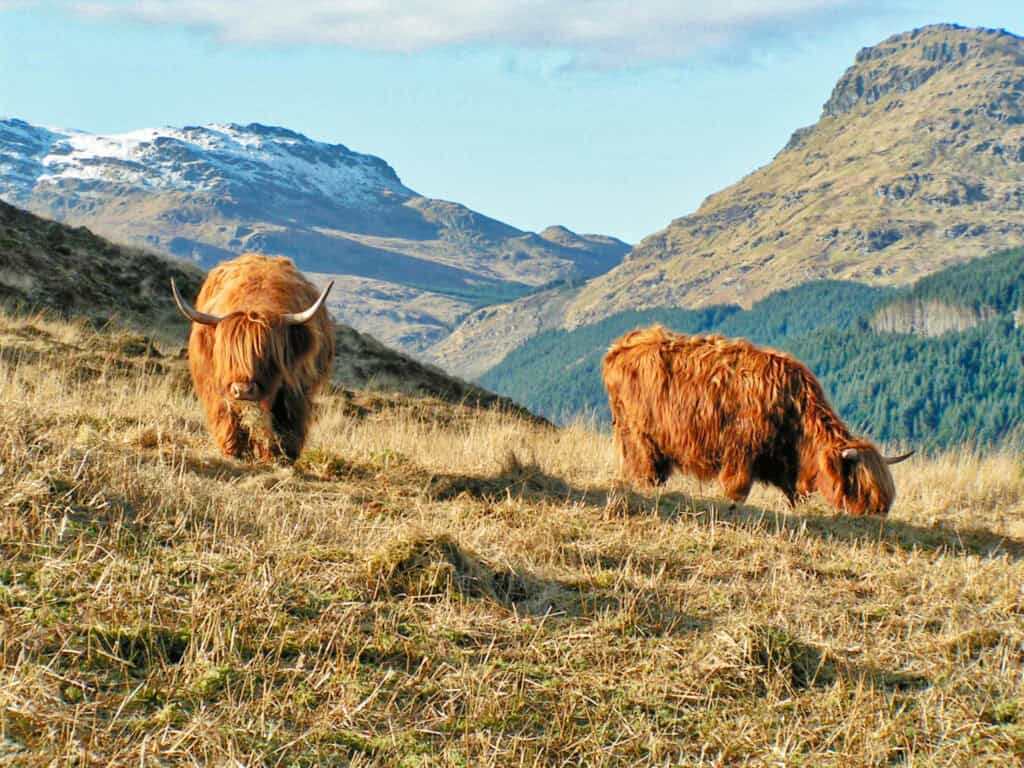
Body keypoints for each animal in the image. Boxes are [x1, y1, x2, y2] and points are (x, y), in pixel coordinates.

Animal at [171, 254, 335, 462]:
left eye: (267, 356)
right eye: (228, 356)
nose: (243, 390)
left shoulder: (297, 390)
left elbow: (285, 423)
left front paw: (279, 456)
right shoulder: (216, 386)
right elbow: (227, 416)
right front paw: (232, 451)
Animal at [601, 326, 913, 516]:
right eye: (860, 485)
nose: (879, 513)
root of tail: (622, 345)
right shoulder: (740, 453)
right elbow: (737, 490)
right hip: (639, 436)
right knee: (646, 470)